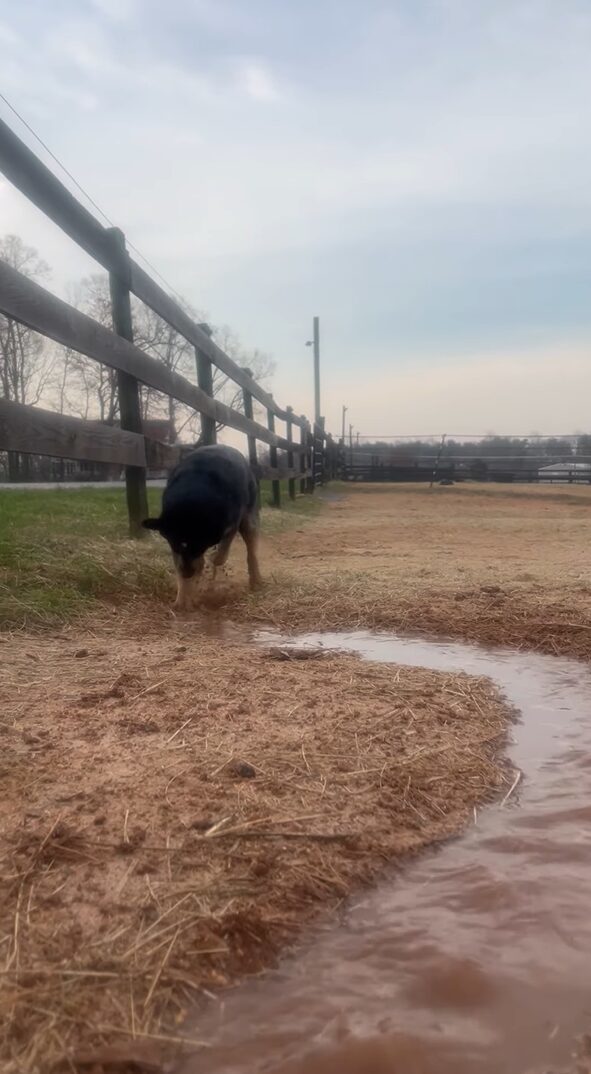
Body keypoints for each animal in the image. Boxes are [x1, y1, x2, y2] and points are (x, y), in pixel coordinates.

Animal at [142, 444, 263, 610]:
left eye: (198, 546)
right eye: (175, 545)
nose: (187, 574)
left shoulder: (231, 523)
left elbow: (219, 555)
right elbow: (183, 564)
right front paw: (181, 601)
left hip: (249, 516)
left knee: (251, 549)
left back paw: (256, 582)